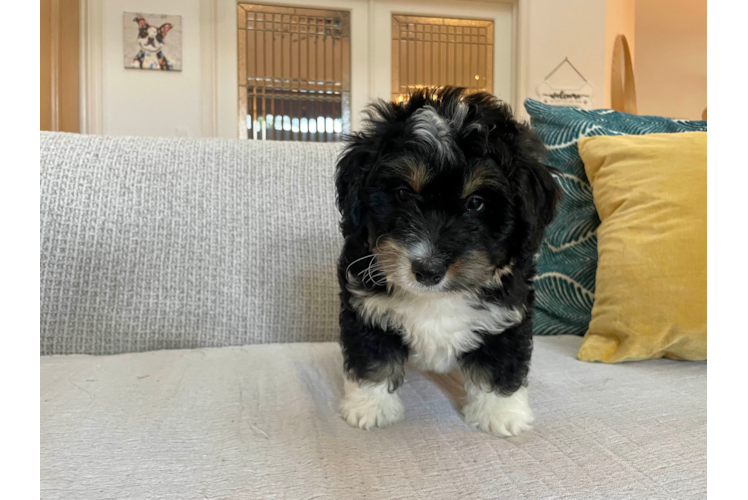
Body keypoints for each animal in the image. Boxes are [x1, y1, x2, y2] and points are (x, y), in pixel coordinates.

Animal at [336, 88, 560, 436]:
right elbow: (372, 356)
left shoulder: (509, 313)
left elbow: (501, 361)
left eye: (476, 203)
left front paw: (501, 412)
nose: (428, 270)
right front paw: (369, 407)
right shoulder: (365, 307)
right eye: (403, 194)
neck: (436, 299)